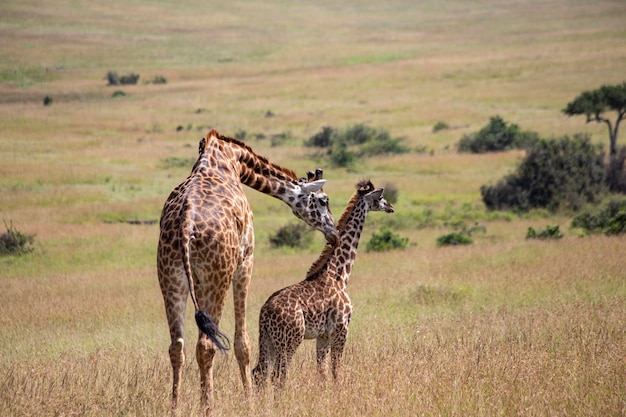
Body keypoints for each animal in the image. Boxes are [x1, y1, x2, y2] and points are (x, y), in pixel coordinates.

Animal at [156, 129, 336, 412]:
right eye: (323, 200)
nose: (334, 232)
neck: (233, 159)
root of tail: (185, 224)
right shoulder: (246, 259)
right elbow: (243, 343)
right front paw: (250, 400)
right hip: (217, 276)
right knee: (206, 345)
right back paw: (209, 407)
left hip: (170, 277)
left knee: (177, 347)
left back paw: (175, 407)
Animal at [251, 179, 392, 386]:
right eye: (380, 197)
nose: (390, 206)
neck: (339, 275)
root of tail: (265, 312)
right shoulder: (341, 328)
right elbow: (337, 370)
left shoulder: (323, 335)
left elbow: (323, 372)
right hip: (290, 339)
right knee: (279, 375)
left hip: (267, 338)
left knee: (259, 373)